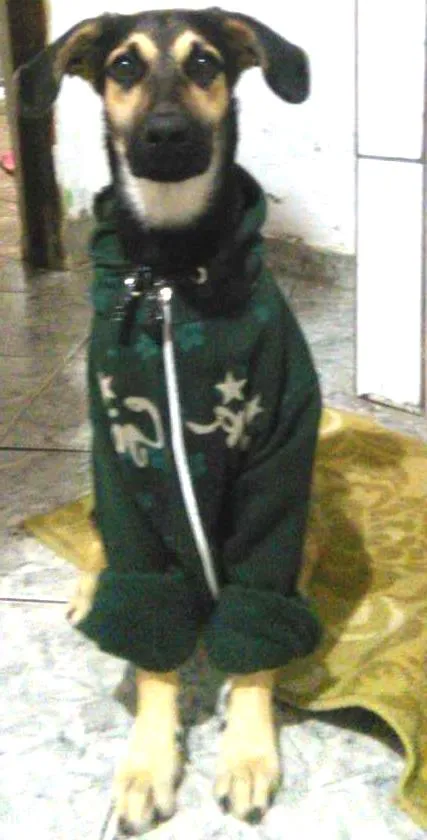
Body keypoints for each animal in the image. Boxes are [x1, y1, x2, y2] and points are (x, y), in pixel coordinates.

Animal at [17, 8, 322, 835]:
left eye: (205, 63)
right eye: (122, 65)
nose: (163, 135)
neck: (170, 276)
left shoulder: (275, 466)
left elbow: (258, 618)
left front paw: (247, 751)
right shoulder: (130, 475)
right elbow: (150, 632)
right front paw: (148, 762)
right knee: (100, 542)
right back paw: (91, 588)